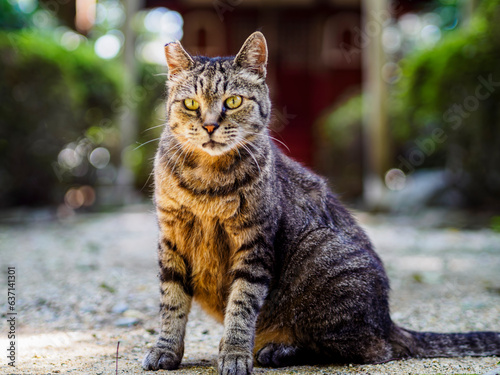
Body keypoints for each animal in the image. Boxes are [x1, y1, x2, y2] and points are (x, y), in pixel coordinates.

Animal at [142, 30, 500, 374]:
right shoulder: (170, 239)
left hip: (321, 260)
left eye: (233, 101)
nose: (210, 125)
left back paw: (277, 350)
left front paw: (233, 353)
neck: (207, 181)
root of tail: (387, 321)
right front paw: (166, 350)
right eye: (191, 103)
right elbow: (171, 303)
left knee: (369, 349)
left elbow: (241, 306)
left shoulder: (254, 244)